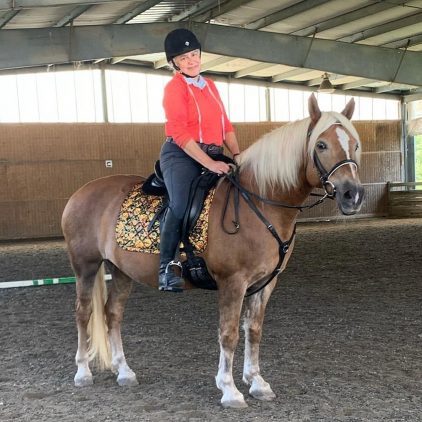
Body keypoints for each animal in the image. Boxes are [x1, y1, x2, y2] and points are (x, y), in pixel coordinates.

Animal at [61, 94, 362, 408]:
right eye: (321, 145)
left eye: (355, 144)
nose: (352, 195)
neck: (259, 204)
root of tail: (81, 192)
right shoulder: (233, 282)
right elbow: (228, 334)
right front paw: (229, 389)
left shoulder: (265, 283)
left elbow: (253, 330)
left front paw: (257, 382)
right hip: (85, 265)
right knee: (83, 312)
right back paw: (82, 372)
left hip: (120, 270)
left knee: (113, 313)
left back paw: (124, 371)